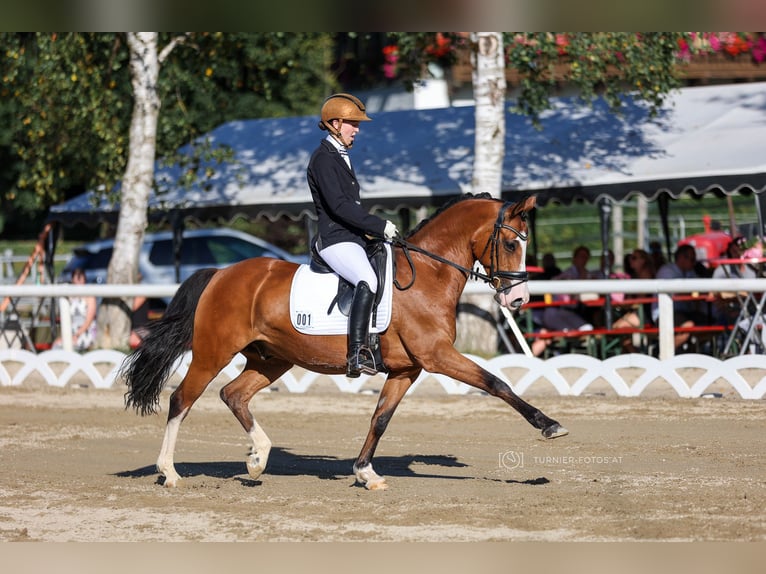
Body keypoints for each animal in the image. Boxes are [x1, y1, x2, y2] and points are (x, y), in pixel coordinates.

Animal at [123, 194, 568, 490]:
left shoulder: (408, 369)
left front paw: (365, 472)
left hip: (272, 359)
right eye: (510, 243)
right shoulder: (437, 356)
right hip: (213, 352)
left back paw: (257, 460)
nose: (518, 300)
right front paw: (549, 425)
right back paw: (169, 472)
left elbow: (380, 418)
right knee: (182, 398)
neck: (428, 273)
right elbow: (497, 383)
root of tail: (221, 273)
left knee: (233, 394)